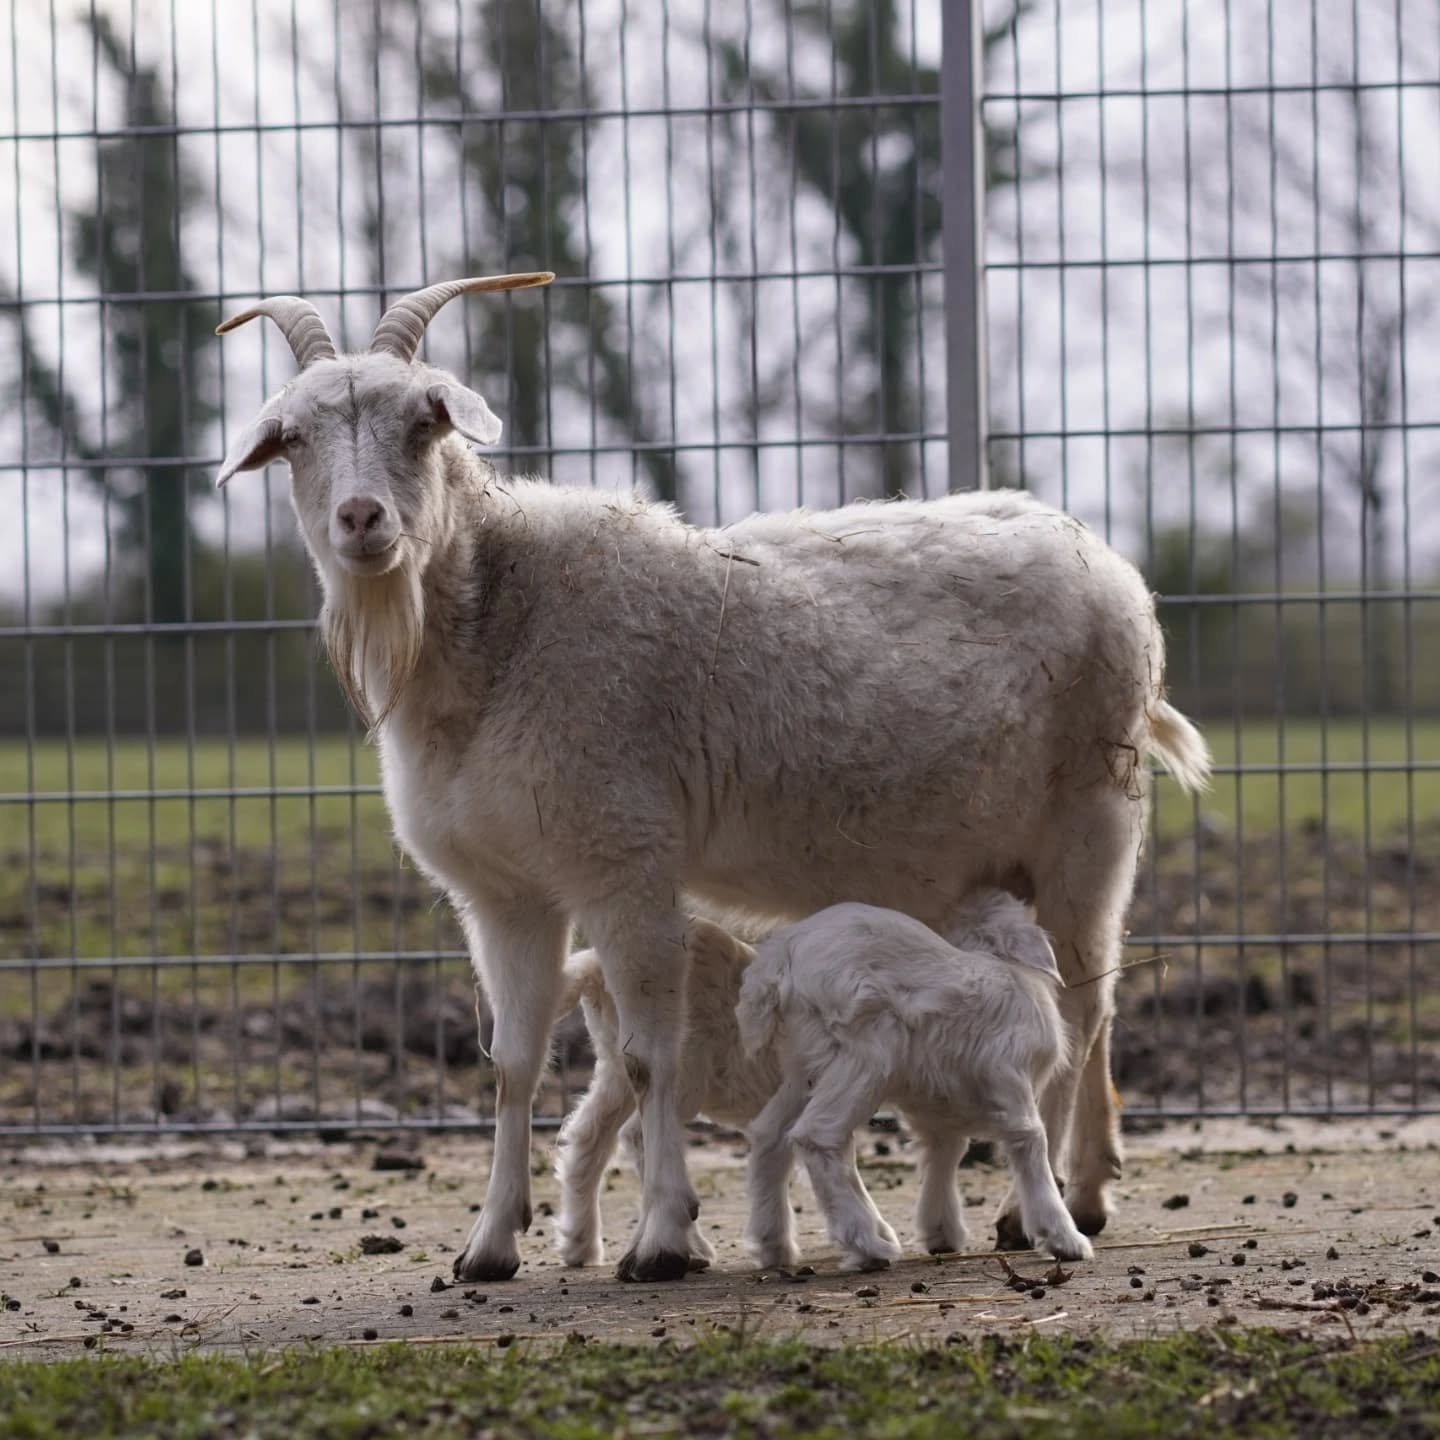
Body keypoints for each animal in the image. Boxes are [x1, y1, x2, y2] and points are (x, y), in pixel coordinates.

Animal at [215, 276, 1211, 1283]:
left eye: (425, 422)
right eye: (292, 438)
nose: (362, 520)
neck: (498, 624)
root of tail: (1116, 571)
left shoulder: (627, 861)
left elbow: (652, 1060)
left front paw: (662, 1237)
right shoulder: (502, 893)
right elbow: (513, 1064)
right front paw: (490, 1244)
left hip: (1091, 820)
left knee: (1085, 1006)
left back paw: (1037, 1209)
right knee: (1088, 1009)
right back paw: (1079, 1190)